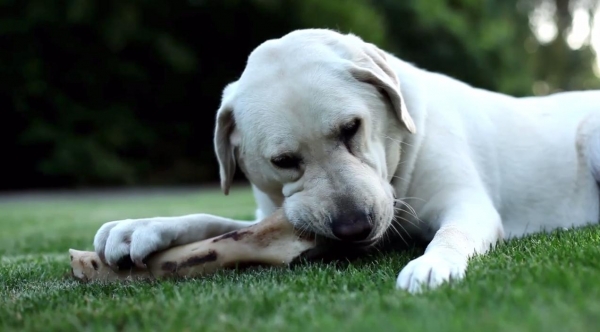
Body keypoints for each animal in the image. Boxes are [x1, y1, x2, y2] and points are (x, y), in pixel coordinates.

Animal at [94, 28, 600, 294]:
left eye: (351, 128)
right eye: (284, 160)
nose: (354, 227)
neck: (397, 160)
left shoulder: (467, 204)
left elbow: (452, 232)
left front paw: (430, 266)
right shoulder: (275, 219)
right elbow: (213, 222)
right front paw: (139, 227)